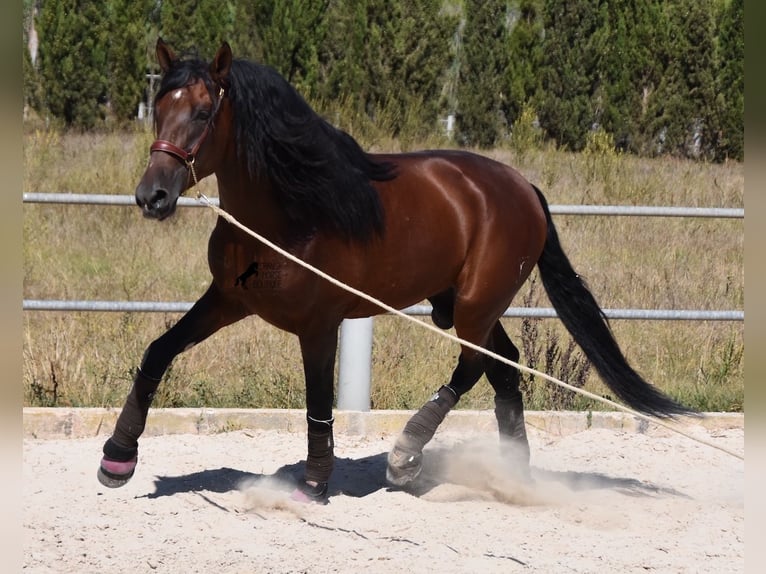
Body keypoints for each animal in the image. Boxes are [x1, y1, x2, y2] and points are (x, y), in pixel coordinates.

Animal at [97, 38, 696, 502]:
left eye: (203, 113)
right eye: (159, 106)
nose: (152, 196)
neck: (289, 212)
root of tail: (523, 187)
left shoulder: (319, 323)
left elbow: (318, 401)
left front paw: (314, 484)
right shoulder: (227, 300)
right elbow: (158, 351)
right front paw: (117, 459)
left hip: (476, 302)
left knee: (474, 367)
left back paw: (406, 455)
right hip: (460, 303)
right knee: (504, 366)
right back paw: (511, 474)